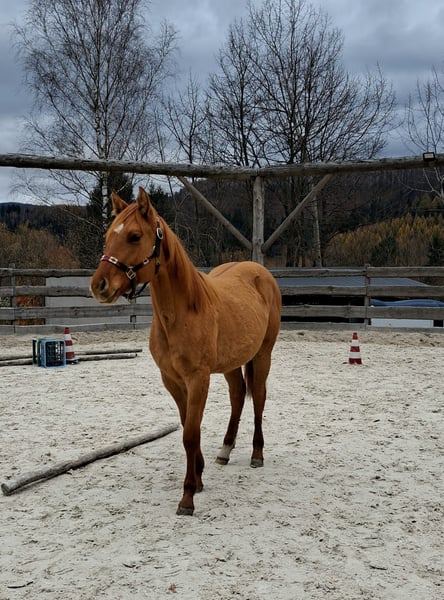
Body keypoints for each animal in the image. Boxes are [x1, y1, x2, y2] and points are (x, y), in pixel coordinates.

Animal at [90, 187, 281, 515]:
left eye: (134, 236)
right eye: (107, 236)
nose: (99, 285)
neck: (182, 313)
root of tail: (260, 272)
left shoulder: (198, 379)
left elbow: (190, 434)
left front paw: (188, 496)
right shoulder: (172, 380)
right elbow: (187, 429)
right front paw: (200, 476)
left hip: (262, 356)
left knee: (258, 397)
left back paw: (257, 454)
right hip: (231, 363)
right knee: (237, 396)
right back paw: (225, 450)